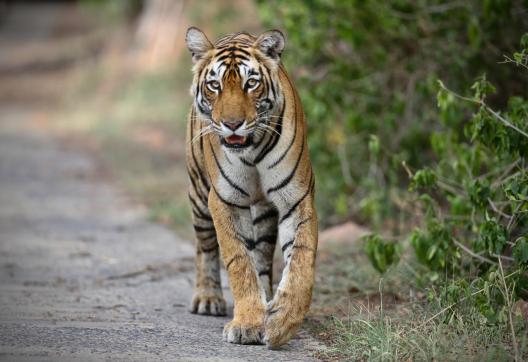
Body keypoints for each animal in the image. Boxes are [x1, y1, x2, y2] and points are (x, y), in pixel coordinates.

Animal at [186, 26, 318, 350]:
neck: (252, 149)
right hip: (199, 195)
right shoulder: (225, 200)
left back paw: (267, 301)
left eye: (251, 83)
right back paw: (208, 297)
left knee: (263, 258)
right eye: (215, 85)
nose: (232, 124)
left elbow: (301, 260)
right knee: (205, 247)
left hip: (264, 213)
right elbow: (239, 262)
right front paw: (247, 324)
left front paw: (282, 321)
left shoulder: (296, 198)